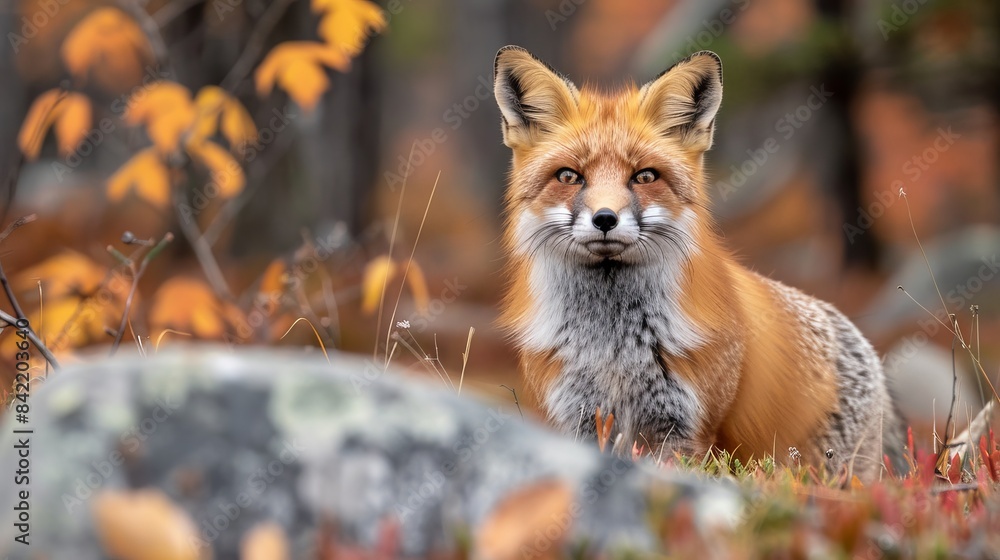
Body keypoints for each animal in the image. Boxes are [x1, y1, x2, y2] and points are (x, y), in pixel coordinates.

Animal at [492, 45, 899, 480]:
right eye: (569, 176)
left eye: (644, 176)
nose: (604, 219)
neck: (612, 344)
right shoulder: (577, 419)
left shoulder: (685, 430)